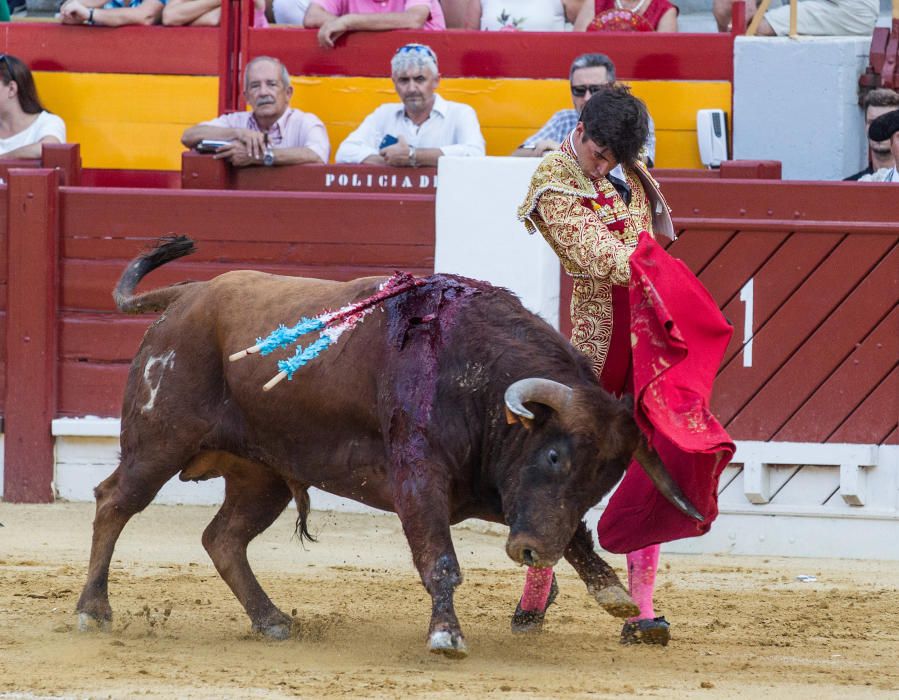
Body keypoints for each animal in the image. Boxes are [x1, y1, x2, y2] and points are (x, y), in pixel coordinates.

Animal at [75, 237, 704, 656]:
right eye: (553, 456)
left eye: (604, 483)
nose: (530, 553)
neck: (474, 377)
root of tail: (190, 295)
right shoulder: (418, 479)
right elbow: (440, 559)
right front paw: (446, 635)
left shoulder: (498, 491)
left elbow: (570, 533)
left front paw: (616, 596)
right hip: (158, 442)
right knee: (114, 503)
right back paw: (91, 611)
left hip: (263, 473)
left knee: (223, 538)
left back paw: (272, 619)